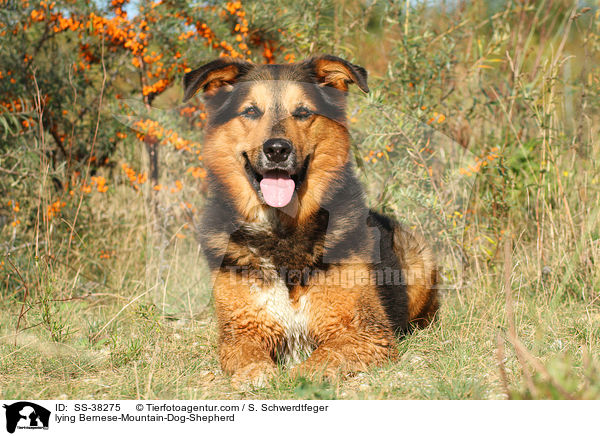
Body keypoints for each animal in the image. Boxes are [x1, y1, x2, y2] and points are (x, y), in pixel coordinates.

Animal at [182, 54, 436, 384]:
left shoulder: (363, 331)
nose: (277, 149)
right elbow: (249, 358)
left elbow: (323, 358)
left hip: (419, 262)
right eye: (250, 111)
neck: (281, 231)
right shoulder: (242, 330)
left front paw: (297, 377)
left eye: (303, 112)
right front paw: (258, 375)